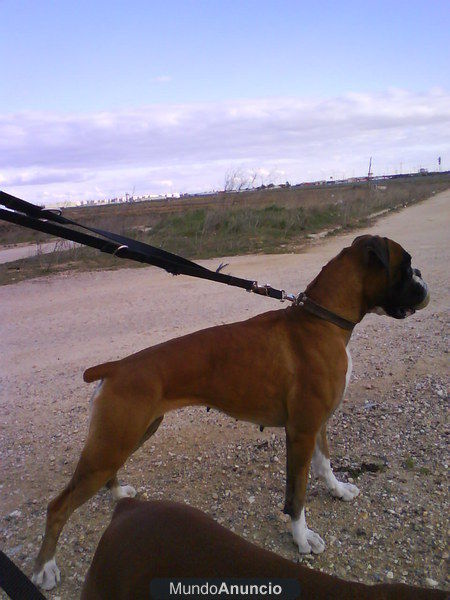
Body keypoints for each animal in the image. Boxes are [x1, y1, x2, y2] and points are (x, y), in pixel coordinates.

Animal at [30, 234, 428, 592]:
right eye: (405, 265)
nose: (423, 277)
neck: (322, 319)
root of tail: (115, 367)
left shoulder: (318, 423)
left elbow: (325, 463)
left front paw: (338, 490)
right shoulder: (301, 431)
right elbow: (297, 494)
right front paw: (302, 538)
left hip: (127, 436)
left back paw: (117, 493)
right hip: (114, 441)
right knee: (58, 507)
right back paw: (45, 569)